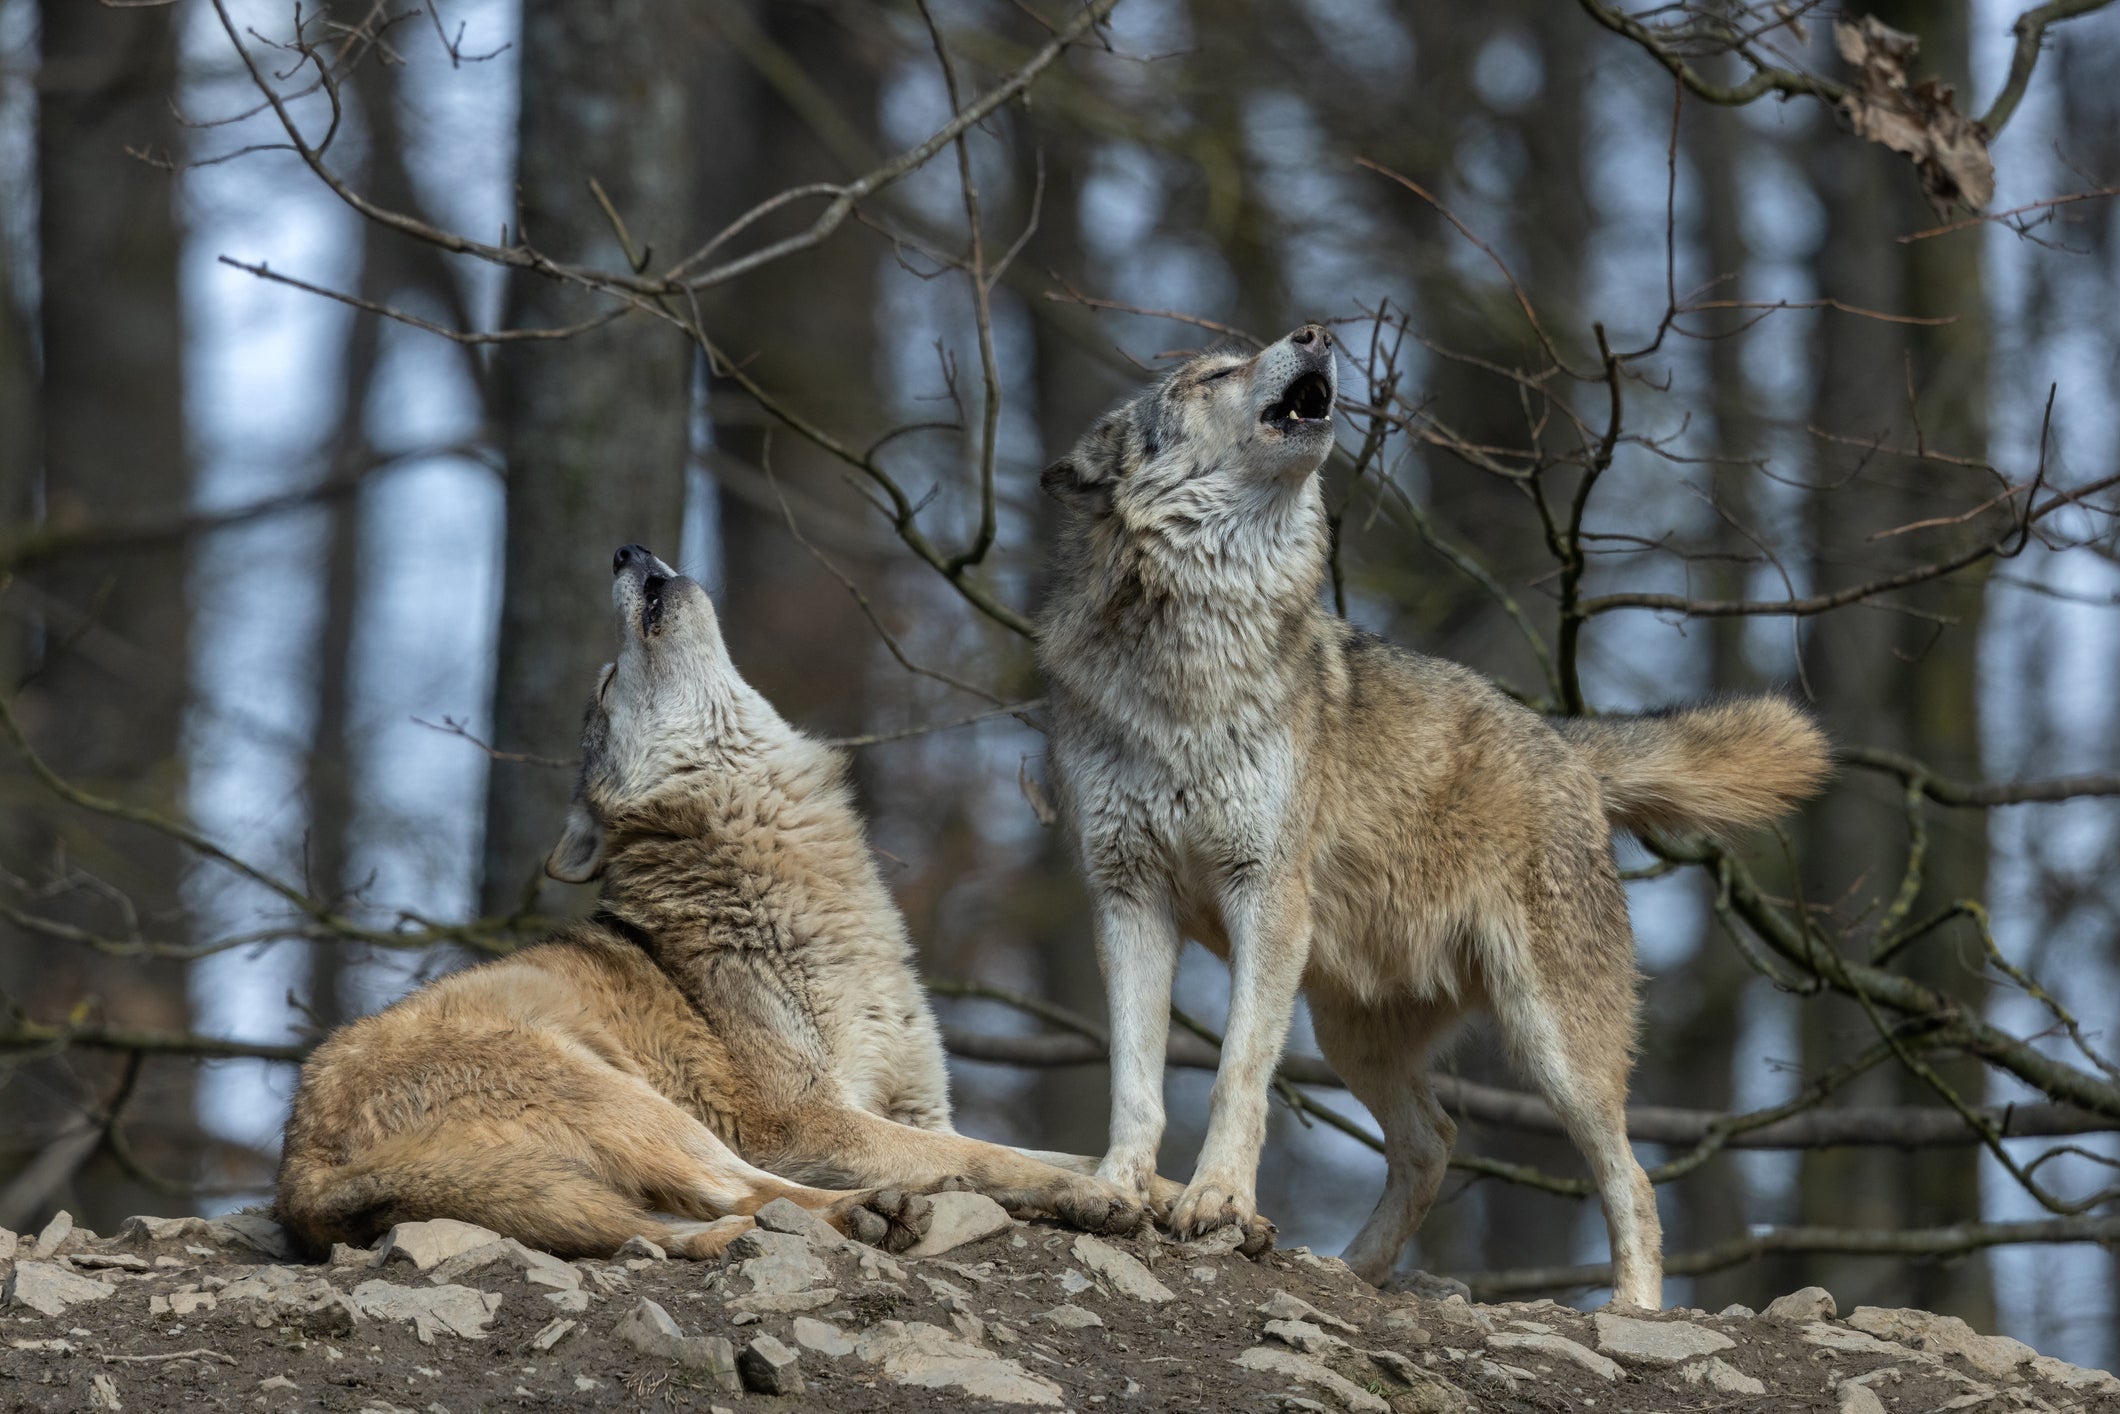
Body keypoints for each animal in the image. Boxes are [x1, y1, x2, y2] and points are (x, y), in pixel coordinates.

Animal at [277, 545, 1145, 1260]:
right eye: (605, 682)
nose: (625, 549)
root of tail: (299, 1178)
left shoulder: (920, 1108)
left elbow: (1046, 1150)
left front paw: (1149, 1190)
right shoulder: (808, 1120)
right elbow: (988, 1156)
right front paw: (1086, 1194)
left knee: (681, 1218)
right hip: (630, 1099)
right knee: (751, 1194)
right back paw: (871, 1210)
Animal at [1036, 326, 1830, 1308]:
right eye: (1213, 373)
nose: (1315, 332)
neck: (1191, 656)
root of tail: (1565, 740)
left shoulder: (1265, 896)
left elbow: (1237, 1075)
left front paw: (1216, 1200)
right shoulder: (1127, 897)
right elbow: (1135, 1081)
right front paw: (1115, 1188)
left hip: (1552, 1043)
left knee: (1632, 1178)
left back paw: (1633, 1311)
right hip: (1351, 1032)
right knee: (1435, 1143)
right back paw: (1350, 1270)